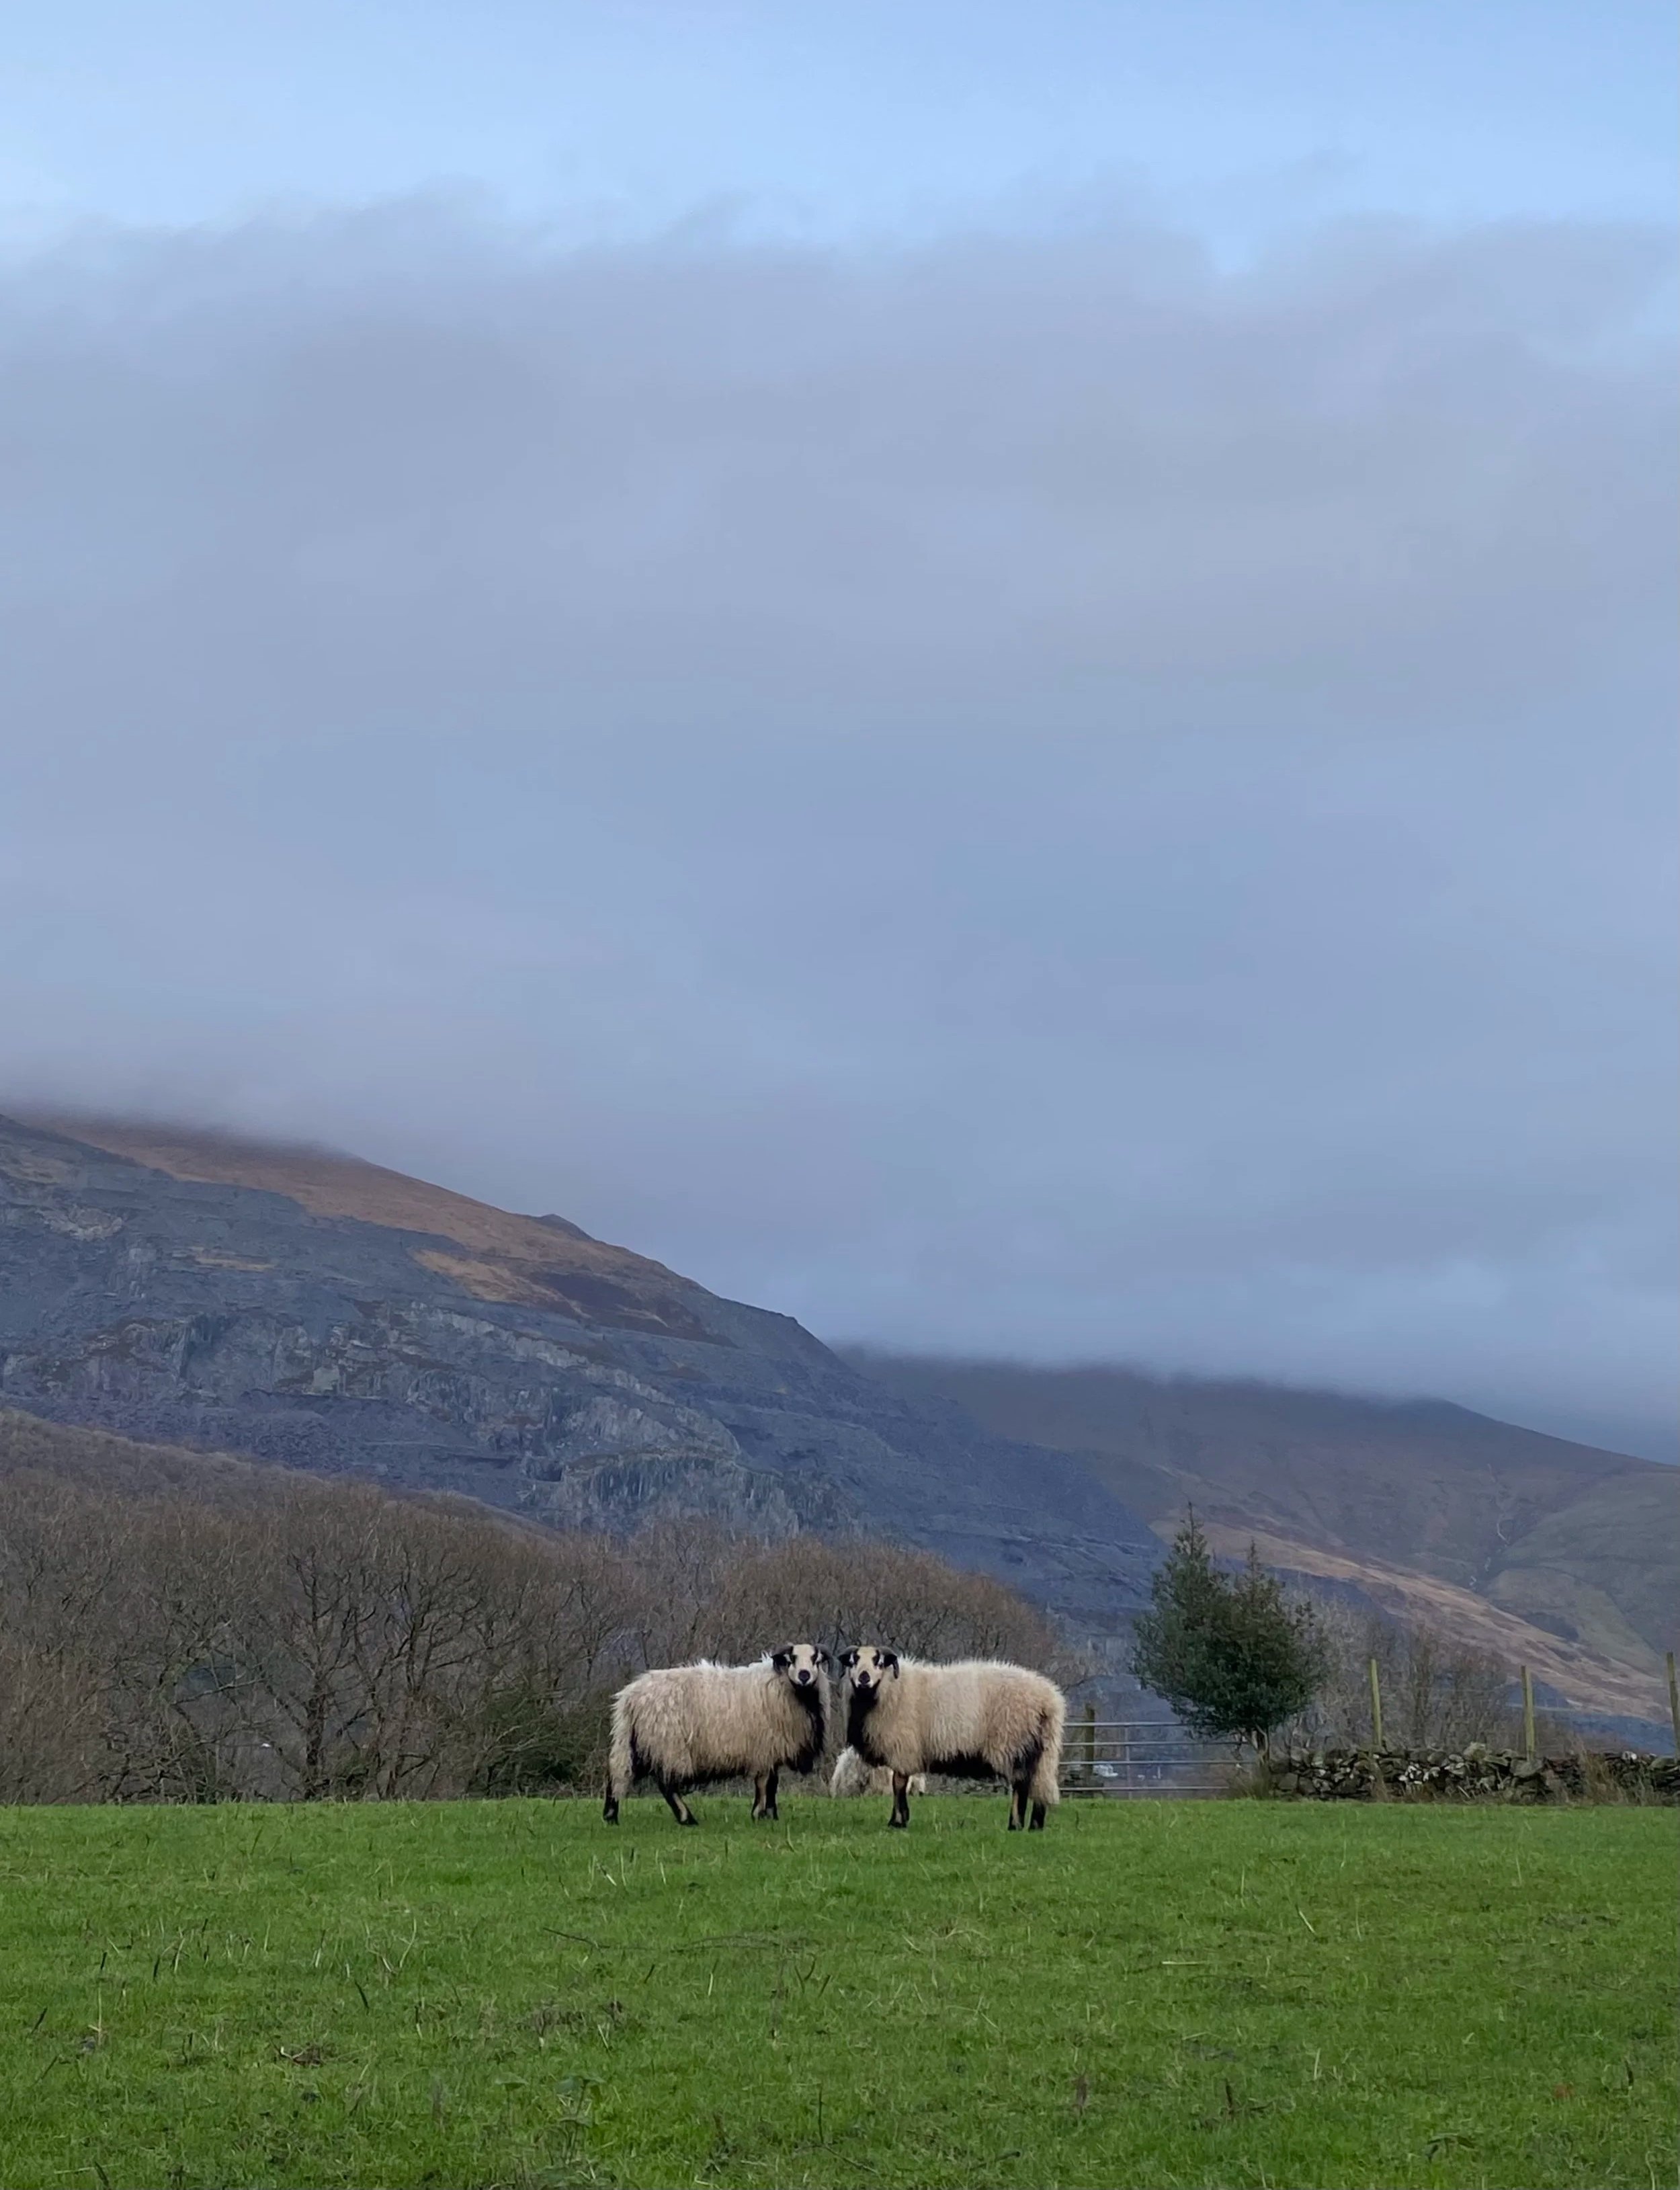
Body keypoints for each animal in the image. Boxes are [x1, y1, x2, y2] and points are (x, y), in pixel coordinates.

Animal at [602, 1643, 830, 1825]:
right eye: (792, 1659)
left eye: (816, 1660)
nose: (804, 1676)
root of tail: (630, 1696)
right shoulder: (764, 1747)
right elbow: (765, 1783)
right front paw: (759, 1814)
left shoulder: (770, 1750)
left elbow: (773, 1784)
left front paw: (771, 1816)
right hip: (668, 1743)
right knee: (665, 1784)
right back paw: (687, 1819)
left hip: (641, 1742)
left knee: (618, 1772)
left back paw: (610, 1816)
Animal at [839, 1646, 1065, 1829]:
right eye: (853, 1660)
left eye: (878, 1662)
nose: (864, 1678)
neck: (891, 1689)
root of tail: (1049, 1699)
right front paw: (899, 1820)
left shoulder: (903, 1749)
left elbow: (899, 1785)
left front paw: (898, 1822)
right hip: (1042, 1749)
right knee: (1040, 1783)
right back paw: (1036, 1825)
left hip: (1013, 1742)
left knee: (1021, 1784)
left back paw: (1015, 1825)